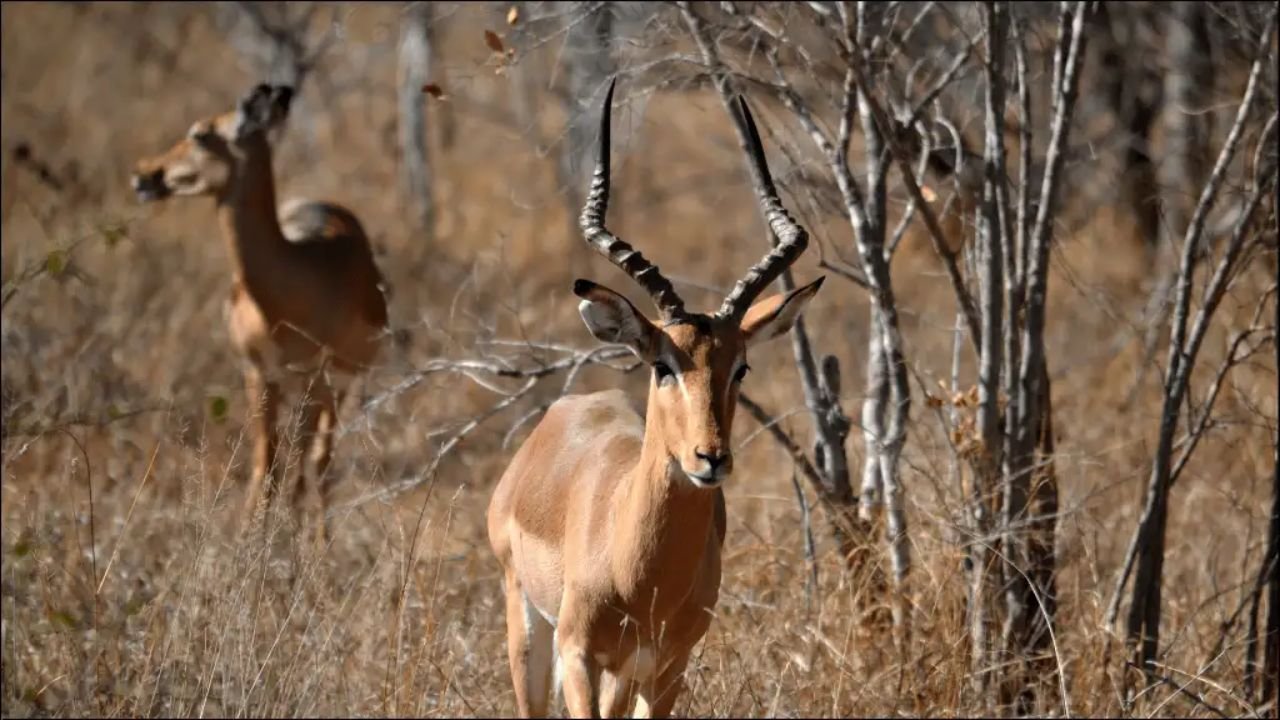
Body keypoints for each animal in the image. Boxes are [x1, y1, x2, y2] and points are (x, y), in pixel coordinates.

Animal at [130, 83, 390, 549]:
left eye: (200, 133)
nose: (145, 175)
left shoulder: (318, 379)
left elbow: (308, 464)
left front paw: (305, 551)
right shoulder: (257, 374)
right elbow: (265, 465)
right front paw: (248, 545)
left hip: (331, 387)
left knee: (318, 461)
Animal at [487, 80, 824, 718]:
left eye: (740, 366)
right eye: (663, 365)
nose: (709, 458)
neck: (638, 576)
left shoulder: (667, 670)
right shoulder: (579, 657)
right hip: (527, 627)